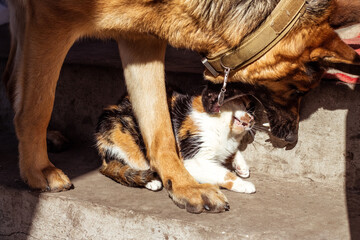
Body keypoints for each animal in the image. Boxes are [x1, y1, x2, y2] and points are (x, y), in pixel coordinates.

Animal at [94, 92, 255, 193]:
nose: (252, 119)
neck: (227, 135)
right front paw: (244, 185)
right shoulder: (193, 160)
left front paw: (242, 167)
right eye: (244, 105)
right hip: (124, 134)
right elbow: (223, 174)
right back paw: (153, 181)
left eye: (251, 110)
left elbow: (233, 152)